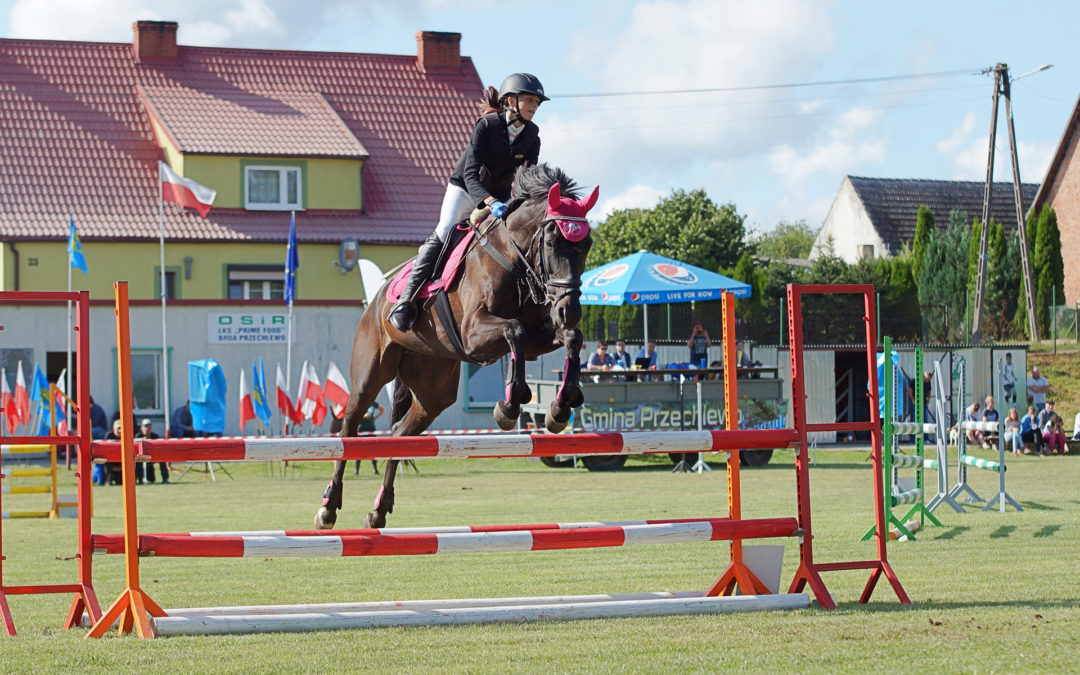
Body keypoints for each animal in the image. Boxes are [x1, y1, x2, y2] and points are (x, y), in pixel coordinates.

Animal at [315, 164, 596, 531]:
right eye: (551, 242)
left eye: (586, 244)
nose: (569, 311)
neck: (512, 259)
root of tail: (374, 300)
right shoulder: (474, 335)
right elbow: (515, 330)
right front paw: (510, 405)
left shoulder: (538, 337)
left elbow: (569, 338)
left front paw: (561, 407)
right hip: (369, 374)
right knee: (349, 429)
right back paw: (328, 508)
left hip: (433, 392)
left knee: (400, 433)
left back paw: (379, 510)